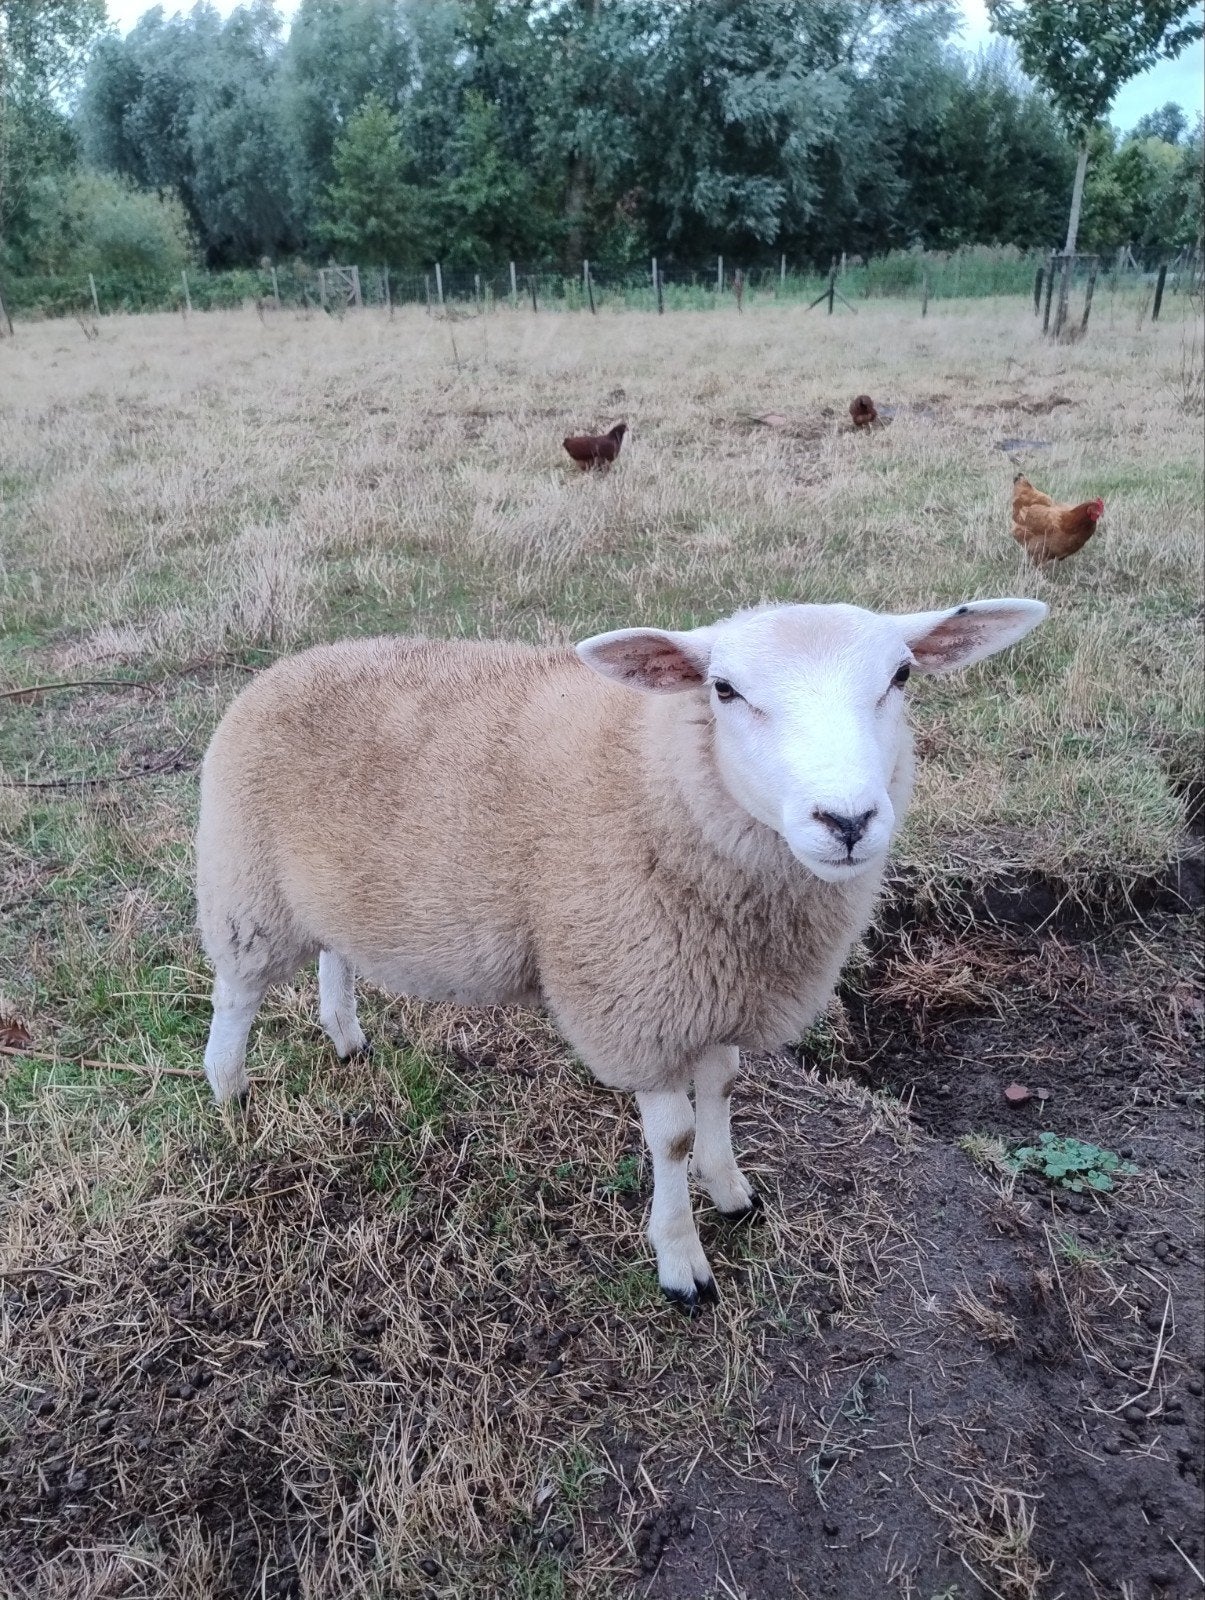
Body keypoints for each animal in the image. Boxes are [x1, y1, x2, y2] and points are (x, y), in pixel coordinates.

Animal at [196, 597, 1047, 1310]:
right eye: (723, 690)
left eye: (900, 677)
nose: (846, 821)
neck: (658, 778)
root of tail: (291, 664)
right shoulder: (639, 1000)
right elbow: (670, 1138)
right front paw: (681, 1262)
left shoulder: (714, 990)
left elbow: (724, 1088)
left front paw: (730, 1192)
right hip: (247, 885)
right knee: (236, 995)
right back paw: (230, 1092)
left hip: (329, 886)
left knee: (333, 953)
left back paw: (345, 1036)